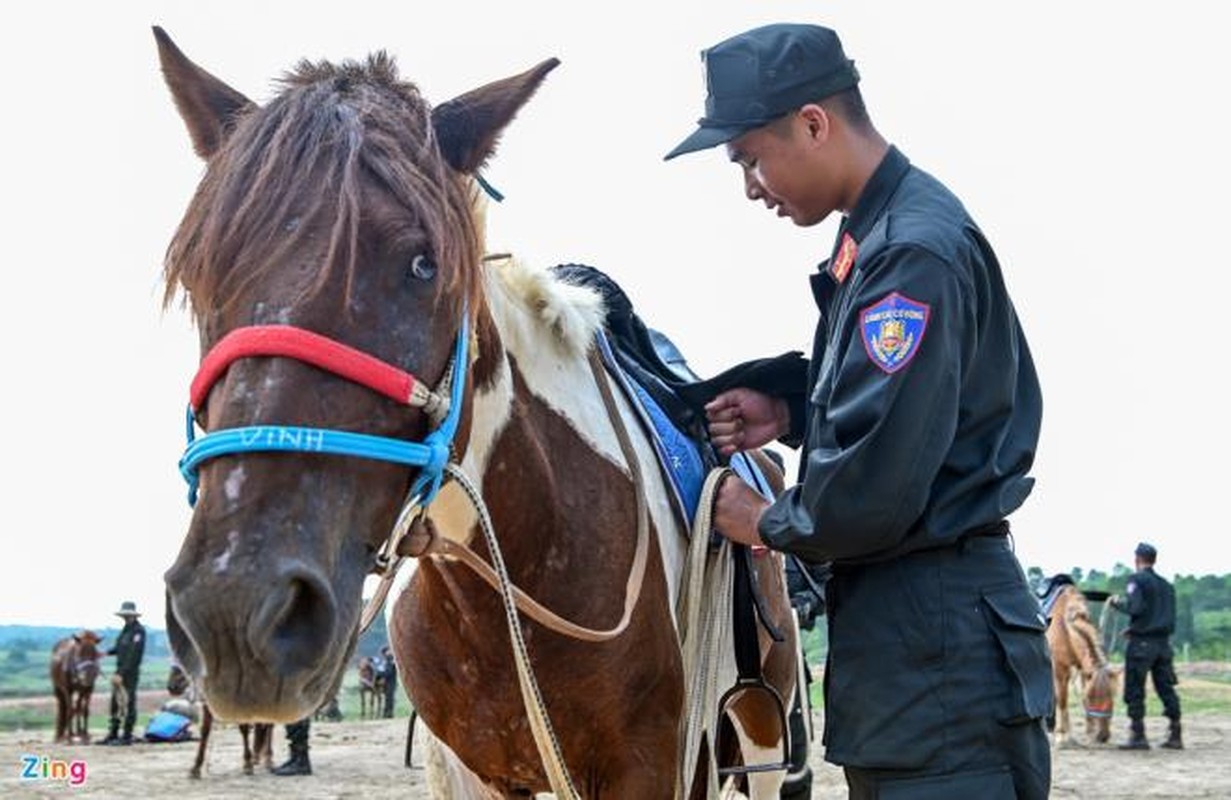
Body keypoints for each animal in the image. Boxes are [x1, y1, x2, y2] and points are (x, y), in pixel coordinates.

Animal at [153, 28, 797, 792]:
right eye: (200, 273)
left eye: (423, 264)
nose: (236, 611)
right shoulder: (468, 770)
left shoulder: (655, 765)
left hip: (756, 737)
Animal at [1043, 578, 1122, 743]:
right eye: (1092, 697)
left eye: (1112, 694)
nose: (1103, 736)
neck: (1064, 627)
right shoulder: (1060, 668)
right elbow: (1062, 699)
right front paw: (1062, 734)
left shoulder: (1083, 668)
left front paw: (1089, 731)